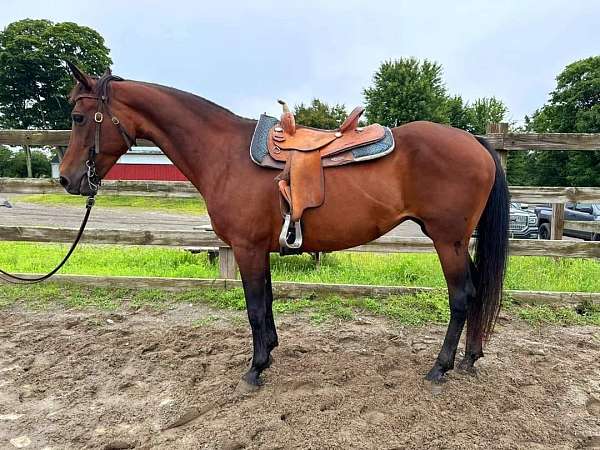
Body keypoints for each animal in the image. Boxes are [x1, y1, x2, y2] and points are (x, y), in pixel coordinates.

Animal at [59, 65, 506, 388]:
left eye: (79, 117)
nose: (66, 179)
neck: (224, 153)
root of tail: (476, 143)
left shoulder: (247, 248)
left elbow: (255, 307)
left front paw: (255, 368)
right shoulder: (262, 248)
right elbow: (268, 303)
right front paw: (270, 353)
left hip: (447, 240)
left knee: (462, 295)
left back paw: (441, 367)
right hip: (456, 241)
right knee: (478, 289)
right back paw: (470, 358)